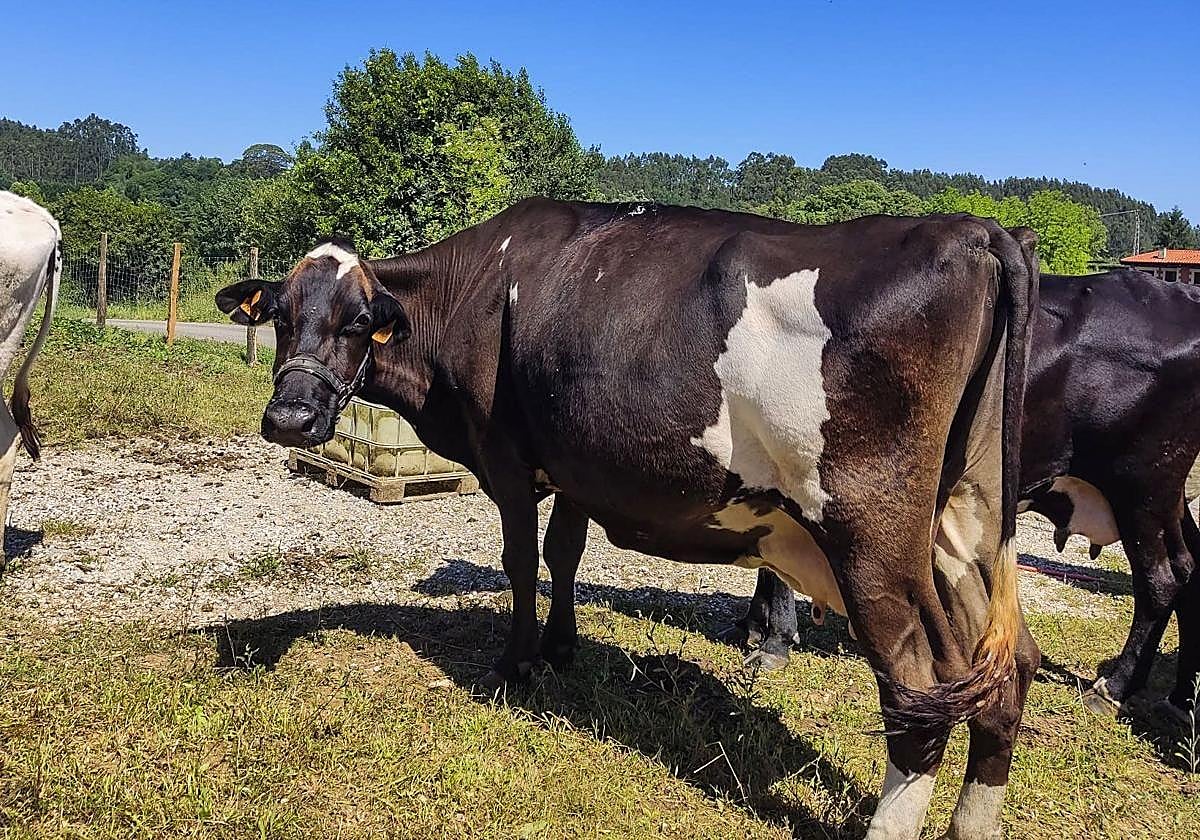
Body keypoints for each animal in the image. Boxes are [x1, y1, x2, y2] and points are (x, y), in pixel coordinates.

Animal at [216, 198, 1039, 839]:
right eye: (280, 318)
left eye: (359, 323)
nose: (290, 417)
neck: (474, 288)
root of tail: (972, 230)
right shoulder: (578, 464)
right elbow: (565, 552)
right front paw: (560, 648)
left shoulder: (508, 460)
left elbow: (522, 560)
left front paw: (514, 664)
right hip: (965, 528)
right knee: (1008, 667)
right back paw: (975, 822)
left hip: (872, 537)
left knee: (919, 688)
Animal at [742, 268, 1200, 723]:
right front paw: (754, 626)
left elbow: (772, 564)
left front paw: (774, 639)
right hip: (1168, 500)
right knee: (1189, 569)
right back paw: (1181, 698)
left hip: (1142, 489)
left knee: (1161, 581)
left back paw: (1113, 689)